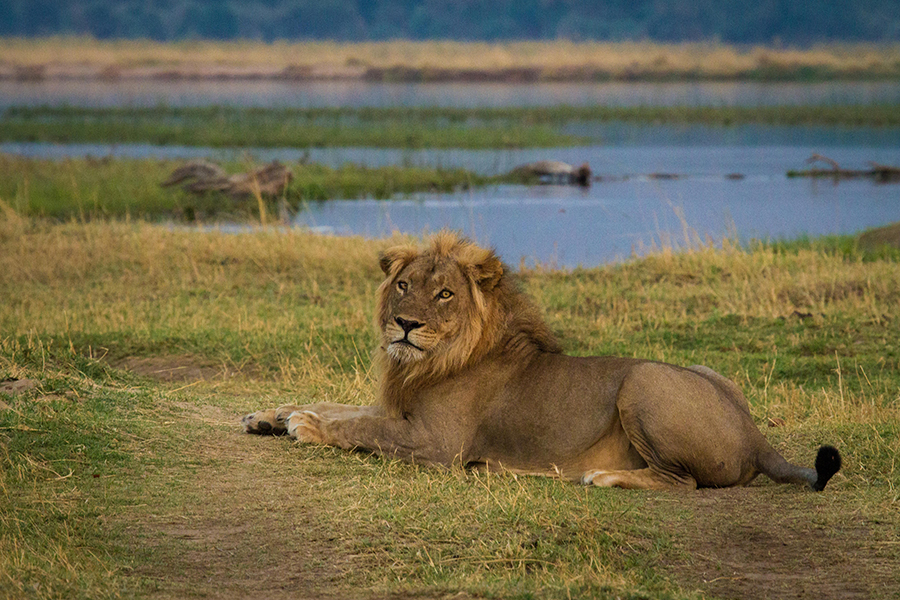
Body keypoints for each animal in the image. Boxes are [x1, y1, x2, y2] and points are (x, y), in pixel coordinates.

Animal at [242, 232, 841, 491]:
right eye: (404, 286)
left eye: (445, 294)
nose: (404, 324)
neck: (423, 362)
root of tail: (755, 436)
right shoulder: (400, 410)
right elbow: (343, 407)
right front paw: (273, 414)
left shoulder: (437, 444)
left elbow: (360, 427)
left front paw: (305, 426)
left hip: (644, 380)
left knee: (682, 483)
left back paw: (604, 476)